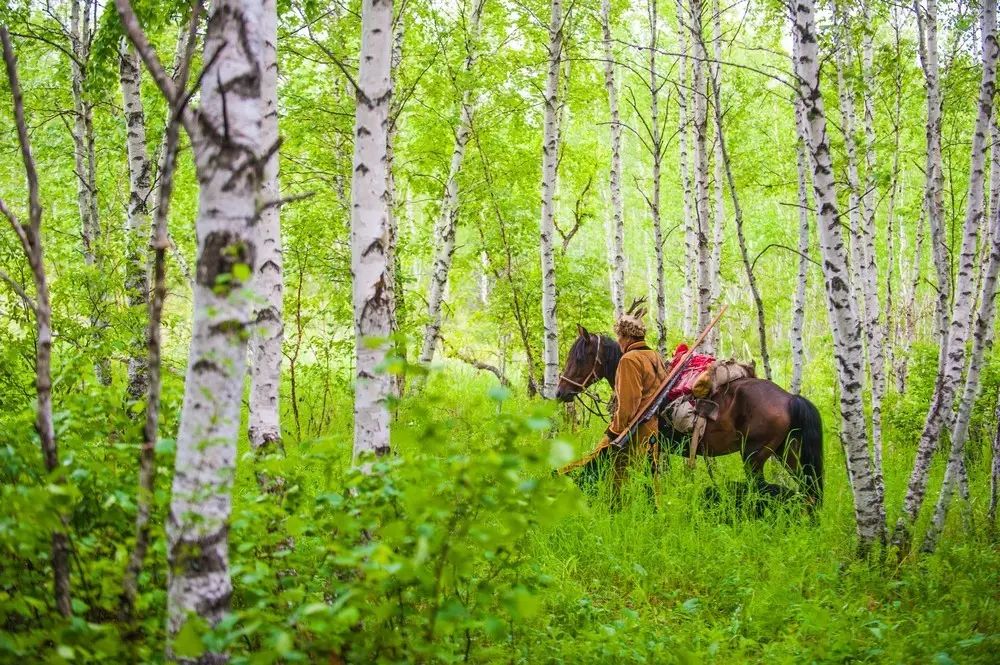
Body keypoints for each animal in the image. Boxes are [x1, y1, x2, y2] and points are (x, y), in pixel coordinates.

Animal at [552, 330, 824, 506]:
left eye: (579, 358)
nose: (560, 392)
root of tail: (790, 398)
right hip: (788, 453)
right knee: (808, 490)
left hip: (754, 458)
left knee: (764, 490)